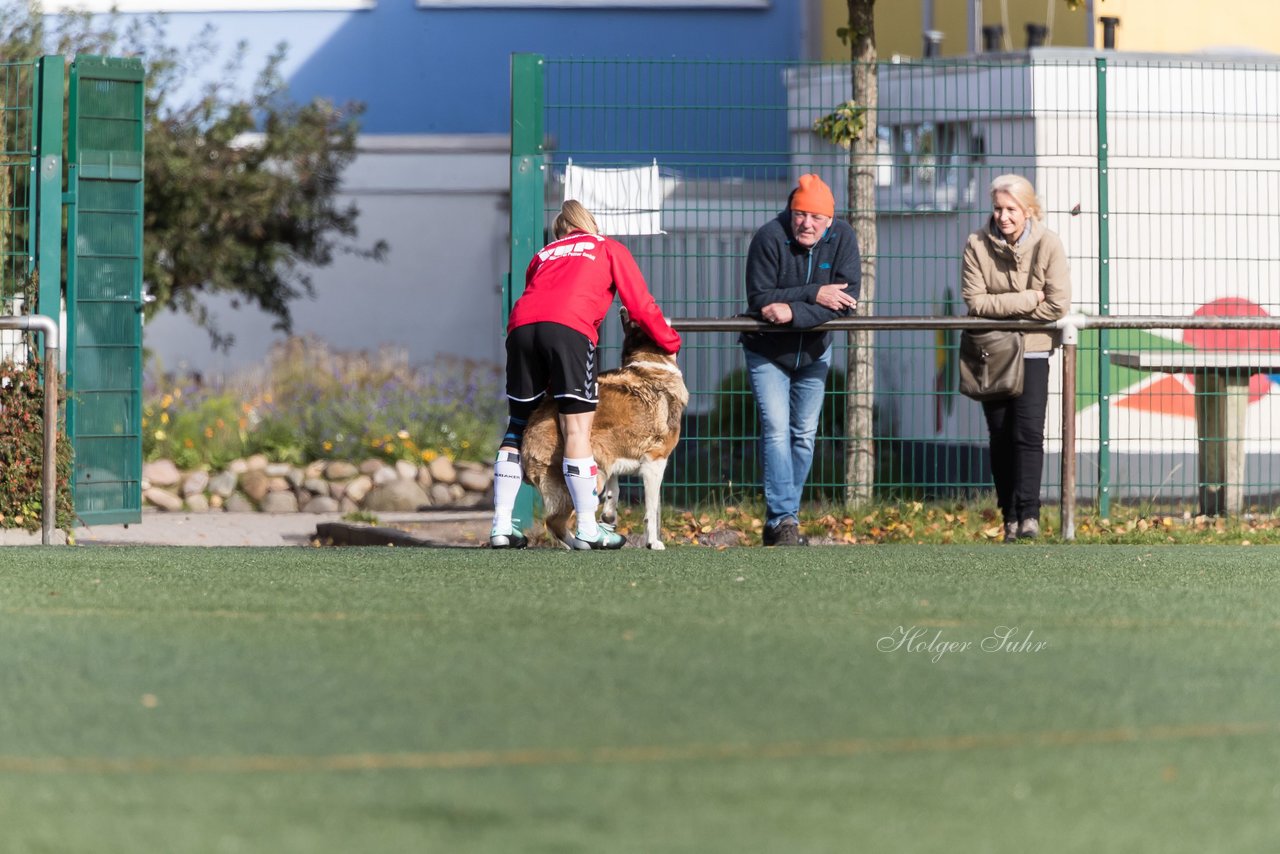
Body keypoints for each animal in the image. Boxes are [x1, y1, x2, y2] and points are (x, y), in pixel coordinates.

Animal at [517, 311, 686, 550]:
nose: (623, 310)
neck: (651, 364)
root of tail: (529, 435)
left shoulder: (611, 458)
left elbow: (614, 493)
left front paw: (608, 517)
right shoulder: (655, 462)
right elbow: (651, 511)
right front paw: (653, 542)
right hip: (589, 473)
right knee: (555, 521)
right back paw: (583, 543)